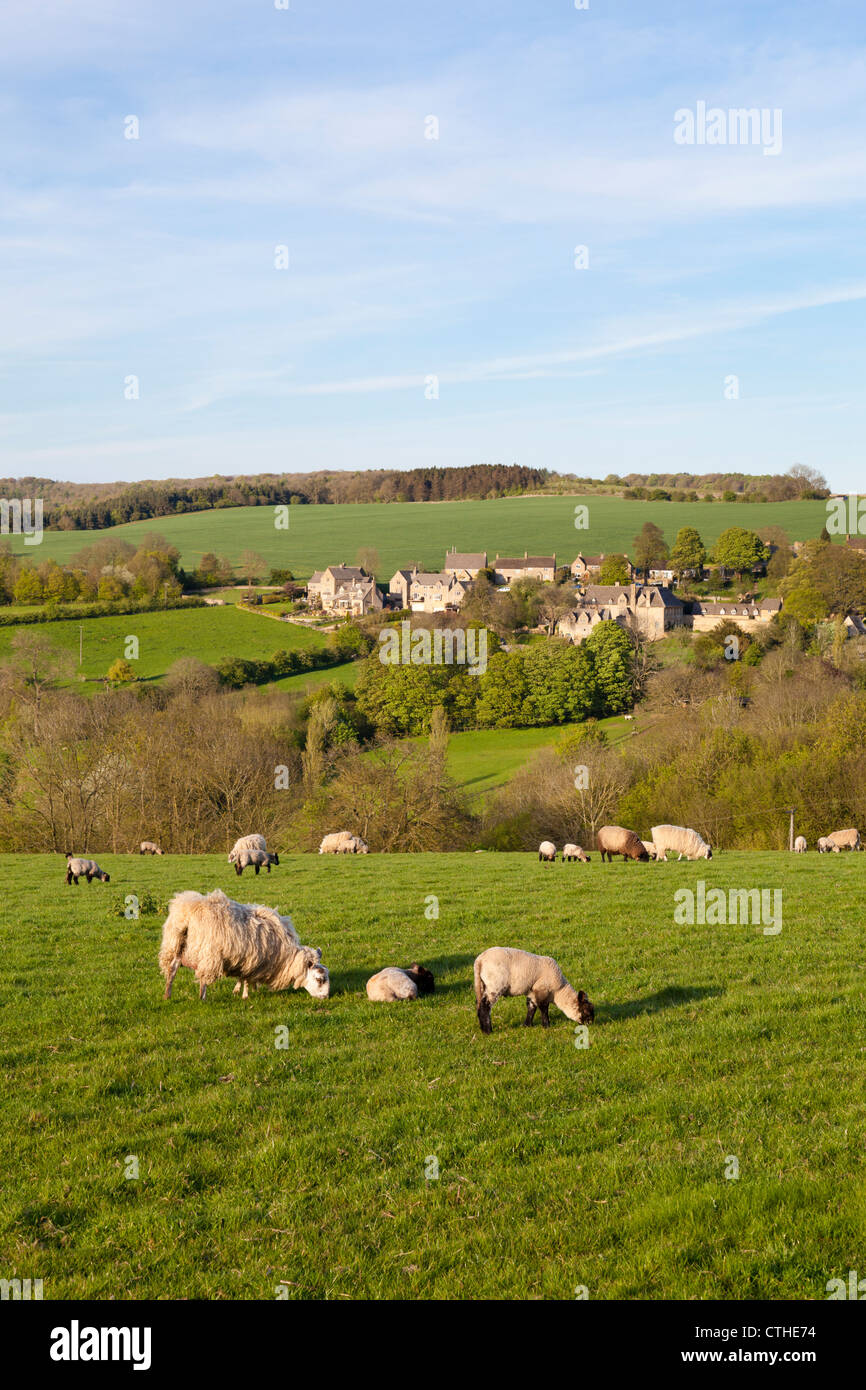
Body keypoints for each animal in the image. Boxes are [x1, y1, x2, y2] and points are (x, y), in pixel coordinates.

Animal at [158, 884, 328, 1006]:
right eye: (320, 979)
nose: (326, 997)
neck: (284, 955)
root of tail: (187, 913)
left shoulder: (244, 959)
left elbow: (241, 976)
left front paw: (237, 990)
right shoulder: (252, 960)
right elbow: (246, 978)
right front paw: (245, 994)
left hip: (175, 945)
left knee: (172, 969)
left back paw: (167, 995)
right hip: (208, 952)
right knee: (203, 977)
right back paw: (202, 997)